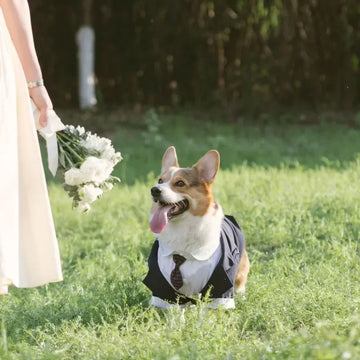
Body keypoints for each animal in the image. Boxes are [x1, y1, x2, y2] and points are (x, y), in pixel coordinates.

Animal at [142, 147, 249, 310]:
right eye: (160, 180)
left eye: (180, 183)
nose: (154, 190)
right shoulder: (163, 286)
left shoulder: (219, 285)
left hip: (239, 271)